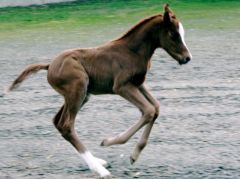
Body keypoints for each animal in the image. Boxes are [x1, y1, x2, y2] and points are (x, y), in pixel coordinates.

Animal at [7, 4, 191, 179]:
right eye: (174, 34)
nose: (187, 58)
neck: (132, 51)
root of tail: (49, 65)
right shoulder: (122, 87)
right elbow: (149, 111)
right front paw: (110, 142)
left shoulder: (138, 84)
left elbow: (156, 109)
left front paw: (134, 155)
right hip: (78, 88)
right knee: (66, 126)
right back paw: (100, 170)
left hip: (80, 95)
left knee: (57, 122)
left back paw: (98, 162)